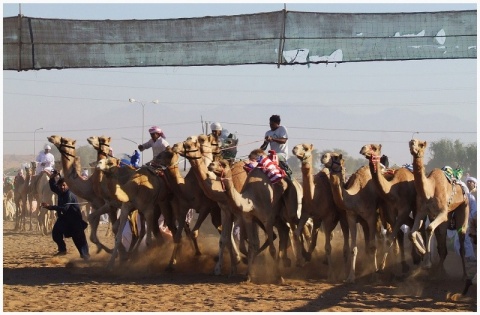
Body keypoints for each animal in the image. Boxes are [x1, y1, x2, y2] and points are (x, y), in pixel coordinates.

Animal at [290, 144, 350, 282]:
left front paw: (331, 274)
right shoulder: (306, 214)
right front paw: (301, 260)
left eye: (306, 148)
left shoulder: (327, 217)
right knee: (315, 237)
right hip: (318, 220)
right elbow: (297, 234)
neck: (314, 196)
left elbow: (328, 247)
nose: (294, 148)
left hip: (337, 218)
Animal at [358, 144, 418, 274]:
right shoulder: (390, 211)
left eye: (374, 148)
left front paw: (381, 266)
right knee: (410, 225)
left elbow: (391, 238)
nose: (362, 149)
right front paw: (399, 265)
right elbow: (396, 235)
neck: (392, 191)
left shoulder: (403, 210)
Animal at [404, 139, 468, 278]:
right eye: (410, 143)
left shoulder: (442, 212)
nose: (412, 143)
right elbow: (411, 234)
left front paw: (427, 263)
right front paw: (423, 253)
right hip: (446, 218)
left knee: (461, 242)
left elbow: (428, 229)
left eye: (421, 145)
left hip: (464, 207)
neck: (429, 190)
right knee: (442, 247)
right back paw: (439, 272)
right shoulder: (421, 212)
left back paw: (465, 276)